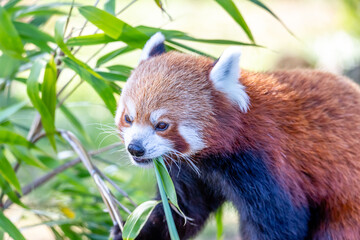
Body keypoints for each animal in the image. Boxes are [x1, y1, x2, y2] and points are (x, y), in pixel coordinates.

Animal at [114, 32, 360, 240]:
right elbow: (181, 210)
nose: (135, 148)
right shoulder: (188, 172)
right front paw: (134, 230)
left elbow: (280, 223)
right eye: (128, 118)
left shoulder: (264, 165)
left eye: (162, 125)